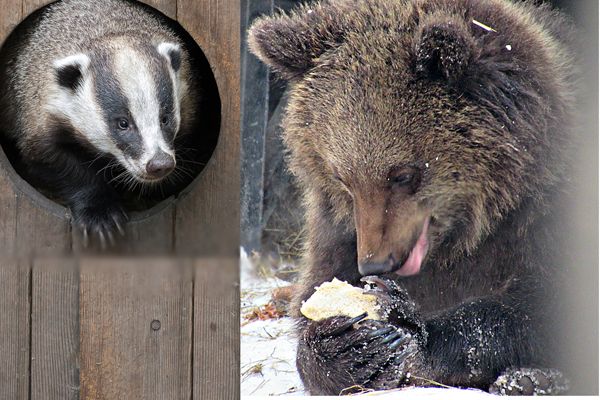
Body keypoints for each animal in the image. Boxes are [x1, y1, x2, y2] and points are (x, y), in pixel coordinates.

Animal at [247, 0, 576, 396]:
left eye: (402, 174)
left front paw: (405, 323)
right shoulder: (336, 229)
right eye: (343, 177)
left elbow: (537, 307)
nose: (374, 264)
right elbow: (312, 298)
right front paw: (347, 348)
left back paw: (529, 380)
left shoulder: (544, 213)